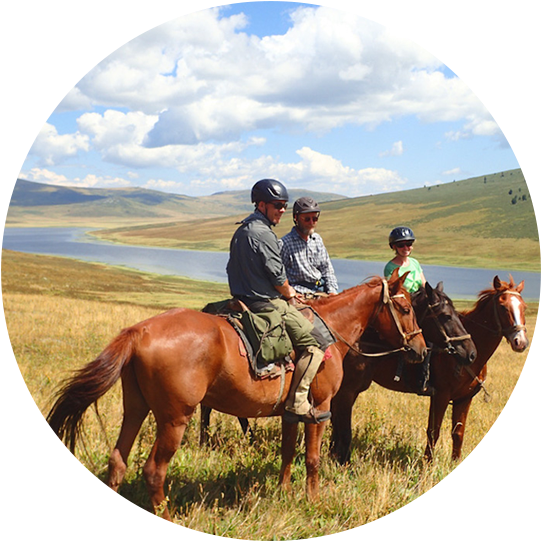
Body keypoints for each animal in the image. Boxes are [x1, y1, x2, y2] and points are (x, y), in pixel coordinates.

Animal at [47, 268, 426, 520]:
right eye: (407, 309)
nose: (421, 349)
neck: (331, 330)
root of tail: (140, 330)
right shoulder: (319, 408)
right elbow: (313, 459)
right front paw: (313, 500)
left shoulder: (291, 411)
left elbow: (288, 452)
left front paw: (285, 492)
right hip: (175, 419)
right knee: (154, 470)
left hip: (136, 409)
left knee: (118, 460)